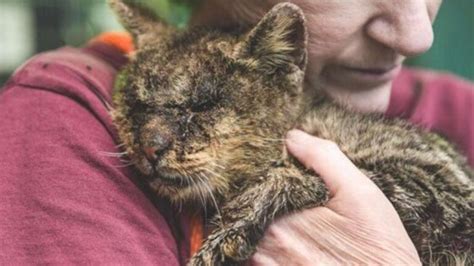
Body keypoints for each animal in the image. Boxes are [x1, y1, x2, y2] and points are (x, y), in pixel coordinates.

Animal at [109, 1, 472, 264]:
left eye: (202, 105)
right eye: (137, 104)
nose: (150, 147)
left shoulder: (443, 188)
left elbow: (293, 173)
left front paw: (228, 234)